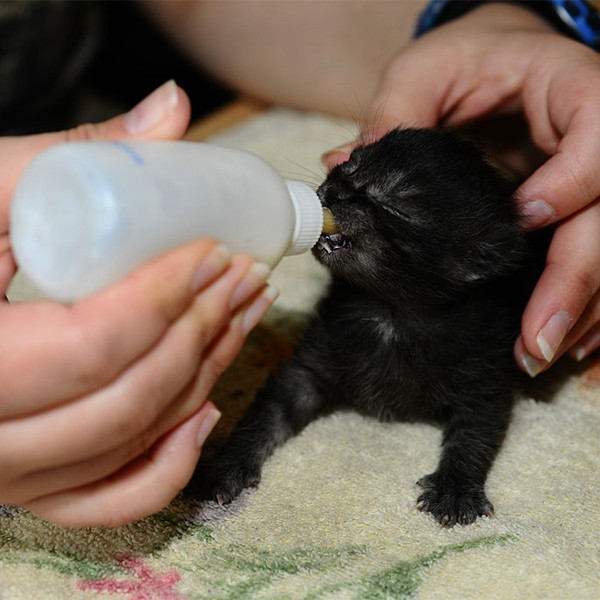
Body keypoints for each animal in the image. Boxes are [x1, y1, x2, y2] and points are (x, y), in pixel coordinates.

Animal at [188, 129, 548, 528]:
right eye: (348, 165)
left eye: (395, 206)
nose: (336, 190)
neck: (389, 312)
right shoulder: (308, 367)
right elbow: (267, 414)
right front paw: (224, 465)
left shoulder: (485, 376)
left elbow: (474, 435)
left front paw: (455, 490)